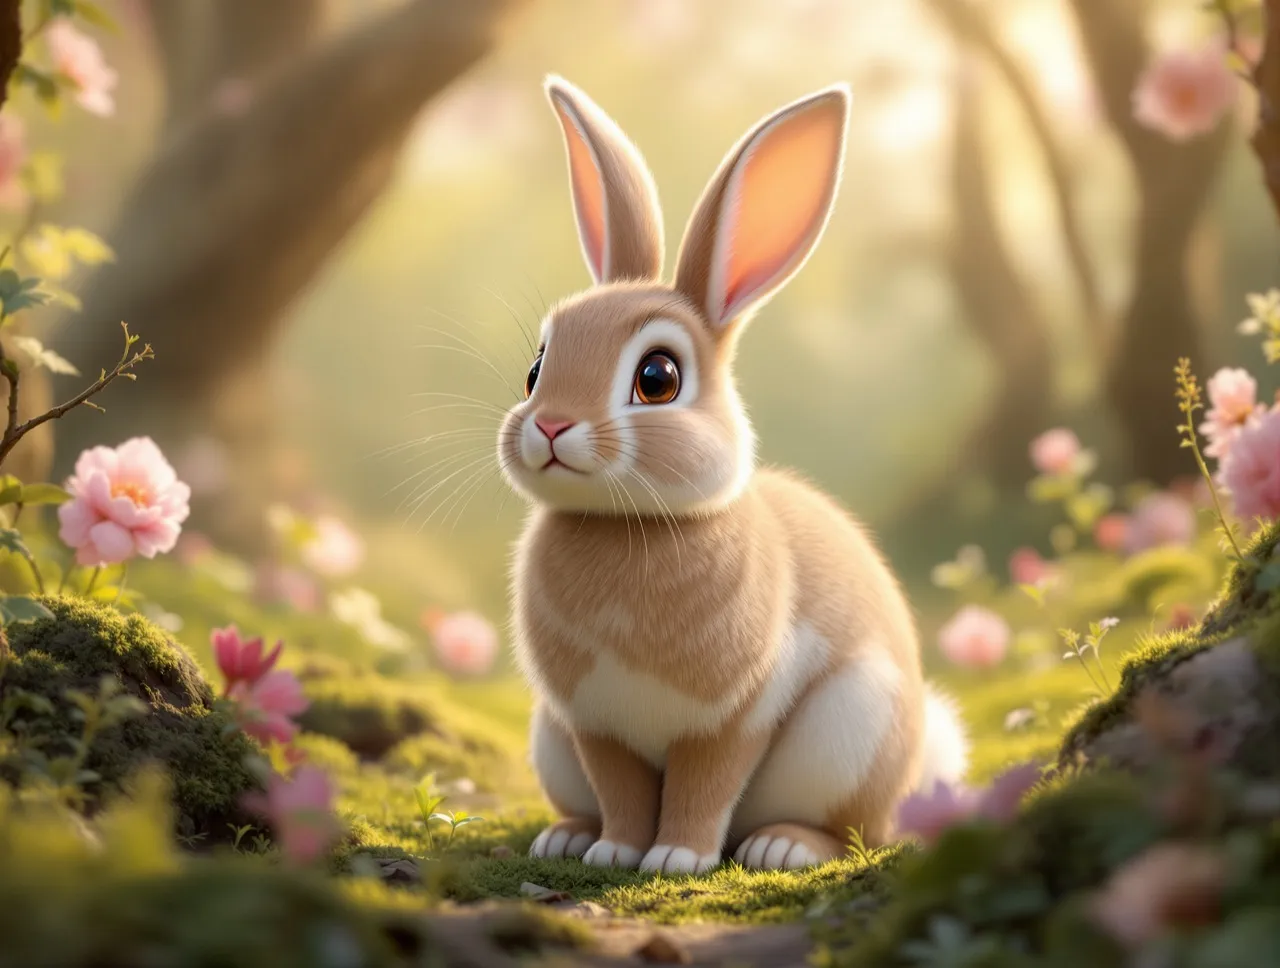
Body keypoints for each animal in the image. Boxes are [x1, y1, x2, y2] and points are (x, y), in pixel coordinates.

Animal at [497, 75, 970, 875]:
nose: (550, 426)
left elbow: (705, 786)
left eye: (657, 377)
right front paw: (615, 853)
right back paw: (568, 835)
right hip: (551, 738)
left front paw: (676, 859)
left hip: (852, 728)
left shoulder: (738, 715)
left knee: (855, 829)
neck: (629, 525)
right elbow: (623, 791)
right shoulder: (594, 724)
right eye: (536, 368)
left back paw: (783, 846)